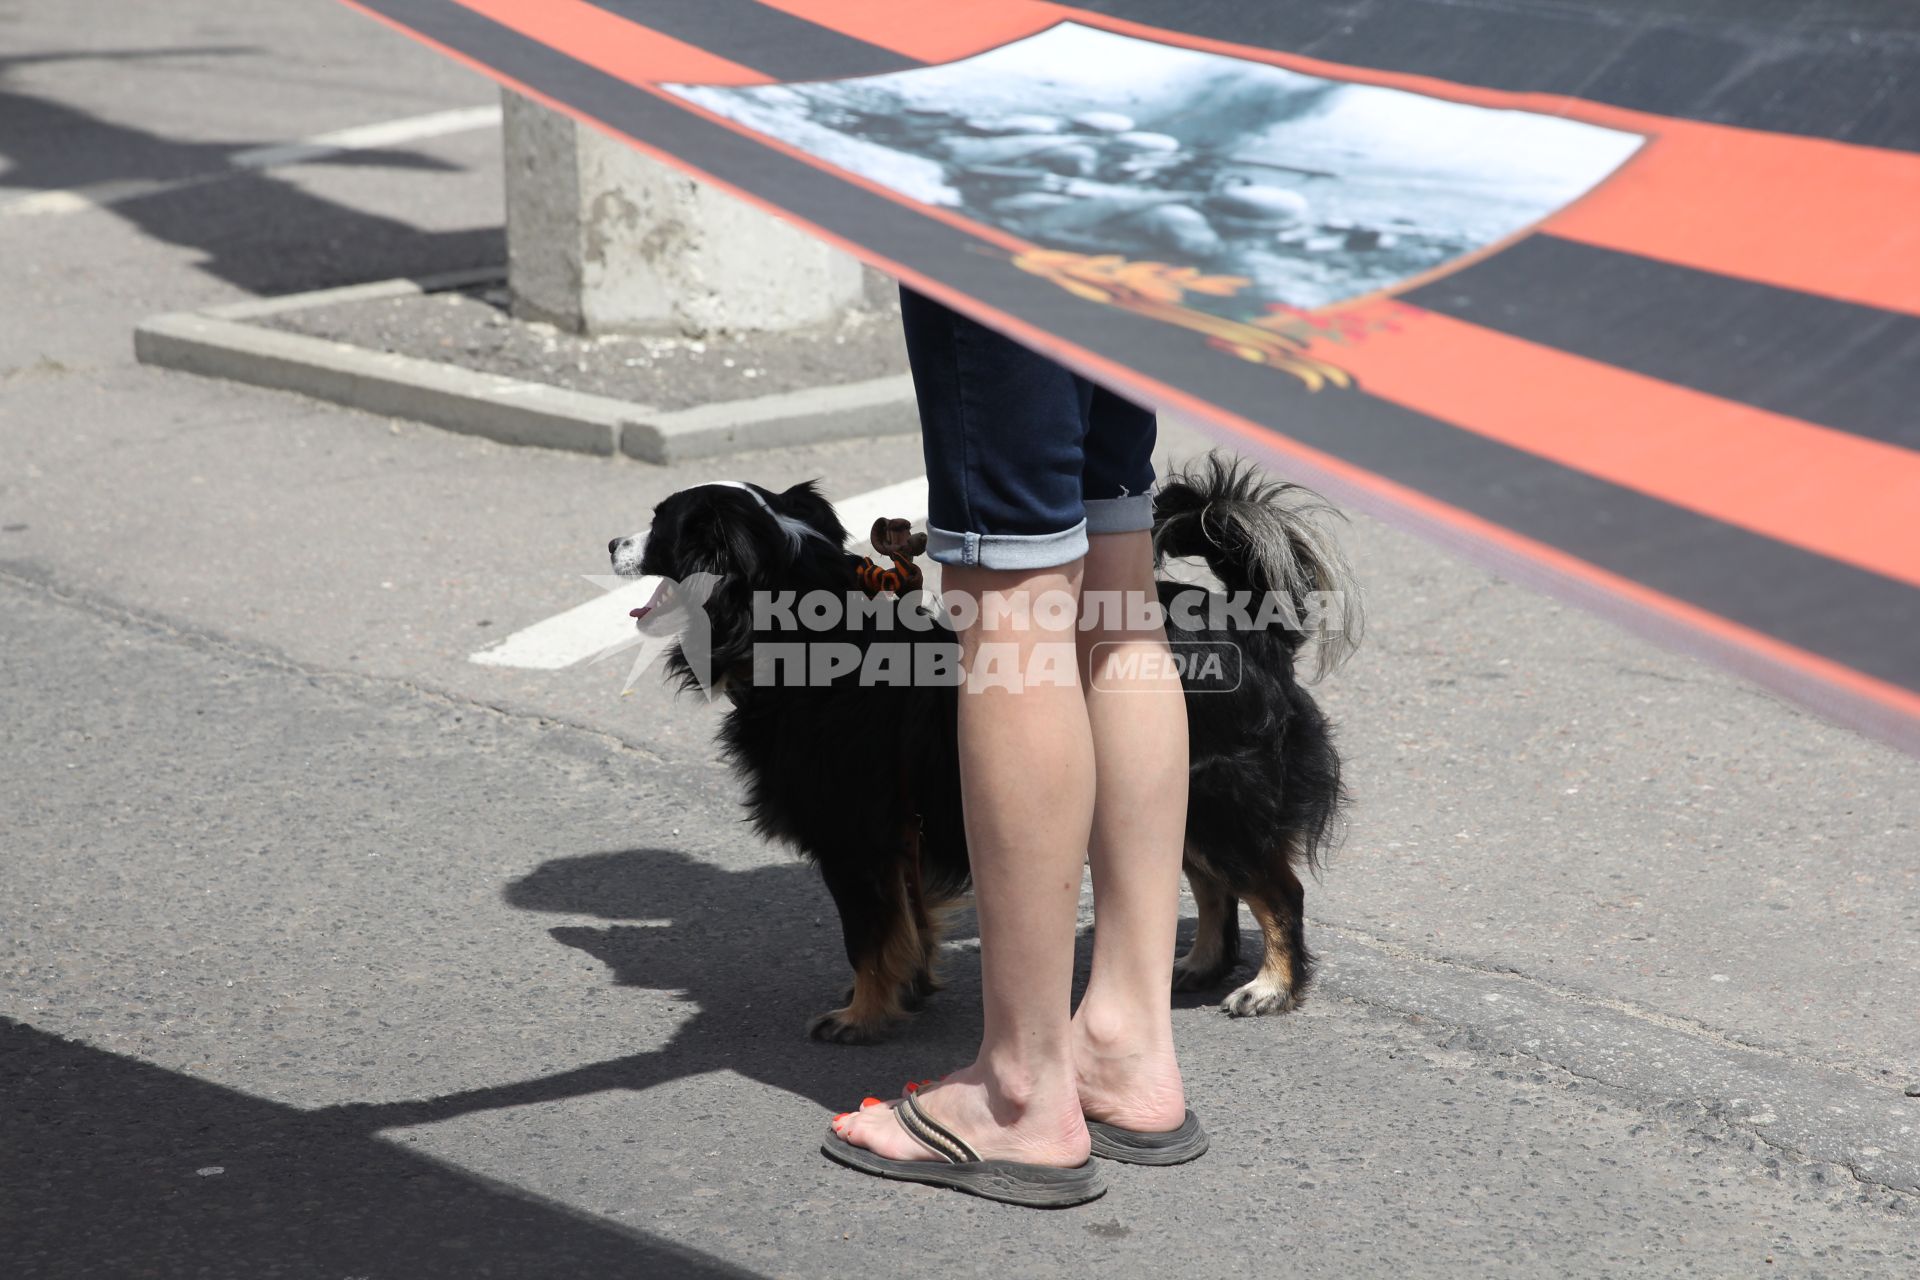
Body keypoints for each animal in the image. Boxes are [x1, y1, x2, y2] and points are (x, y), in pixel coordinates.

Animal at [606, 458, 1359, 1043]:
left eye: (661, 526)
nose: (612, 540)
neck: (808, 641)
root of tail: (1250, 626)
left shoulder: (854, 839)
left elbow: (865, 935)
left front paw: (862, 1015)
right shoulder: (899, 836)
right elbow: (904, 923)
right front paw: (908, 990)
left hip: (1215, 789)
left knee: (1276, 890)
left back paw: (1272, 987)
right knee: (1213, 885)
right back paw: (1198, 965)